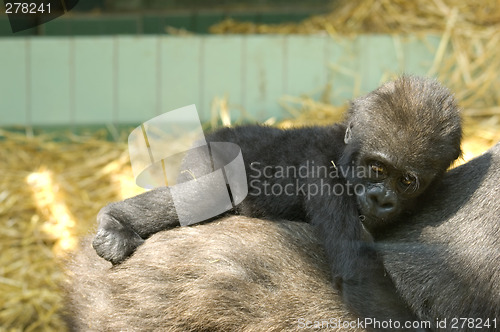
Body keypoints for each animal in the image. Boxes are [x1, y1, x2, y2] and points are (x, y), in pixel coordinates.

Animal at [94, 76, 460, 330]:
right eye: (377, 168)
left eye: (407, 181)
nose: (380, 199)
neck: (344, 150)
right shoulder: (321, 174)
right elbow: (359, 272)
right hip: (210, 152)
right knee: (203, 195)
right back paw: (116, 221)